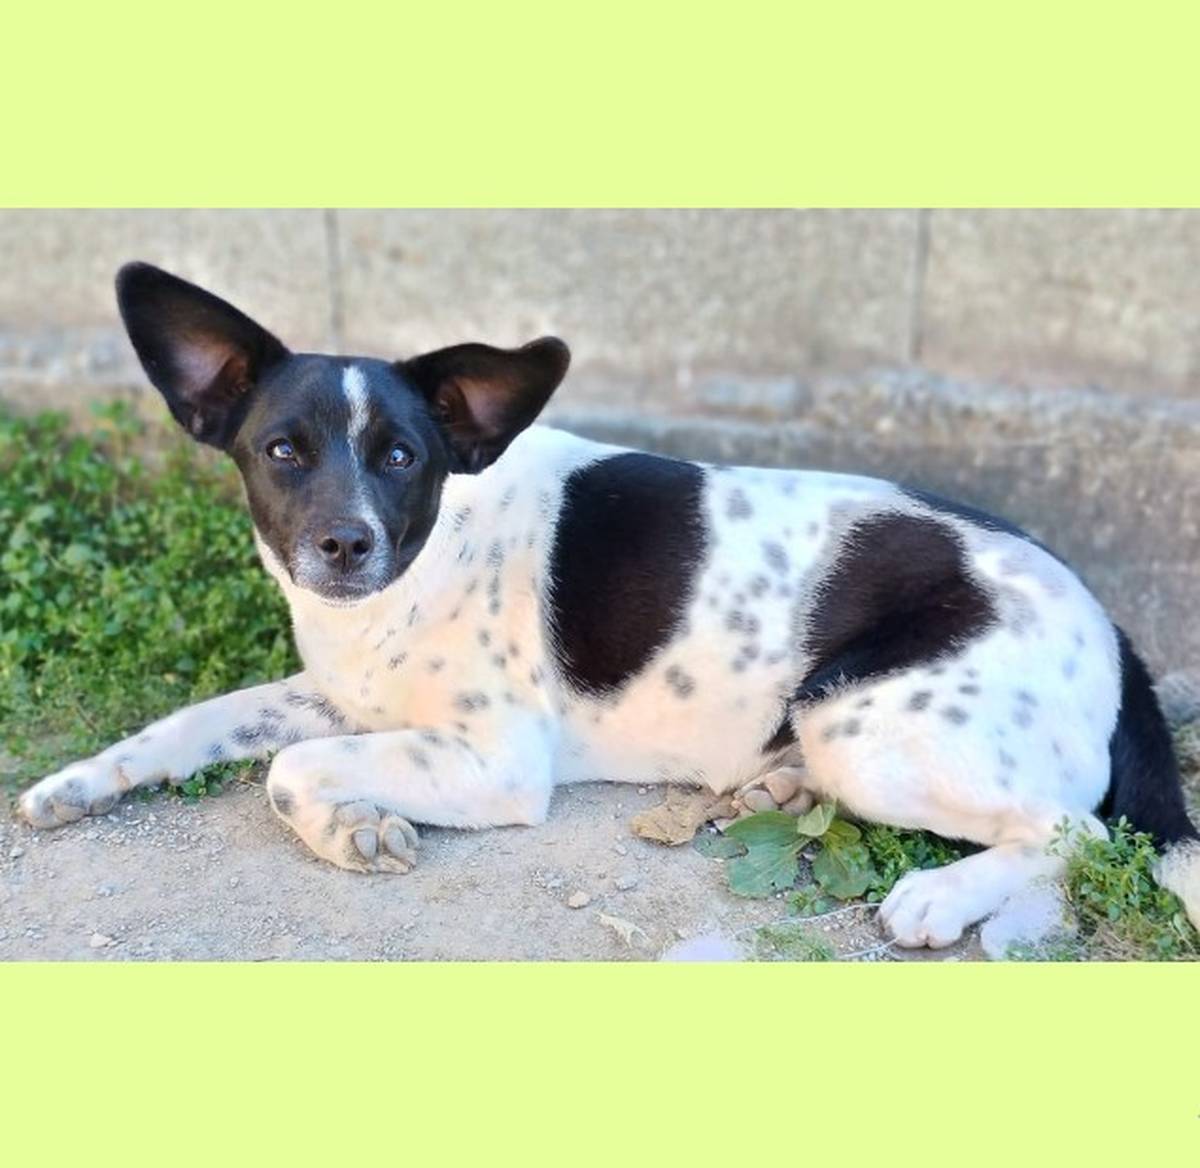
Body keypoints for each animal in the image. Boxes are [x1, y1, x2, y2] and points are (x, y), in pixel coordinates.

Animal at [17, 261, 1200, 949]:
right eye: (280, 450)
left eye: (402, 455)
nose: (344, 544)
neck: (419, 568)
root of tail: (1106, 622)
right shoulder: (340, 694)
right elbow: (195, 723)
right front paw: (77, 784)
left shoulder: (492, 761)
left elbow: (287, 771)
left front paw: (357, 831)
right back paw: (778, 789)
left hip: (864, 719)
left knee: (1077, 832)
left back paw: (942, 900)